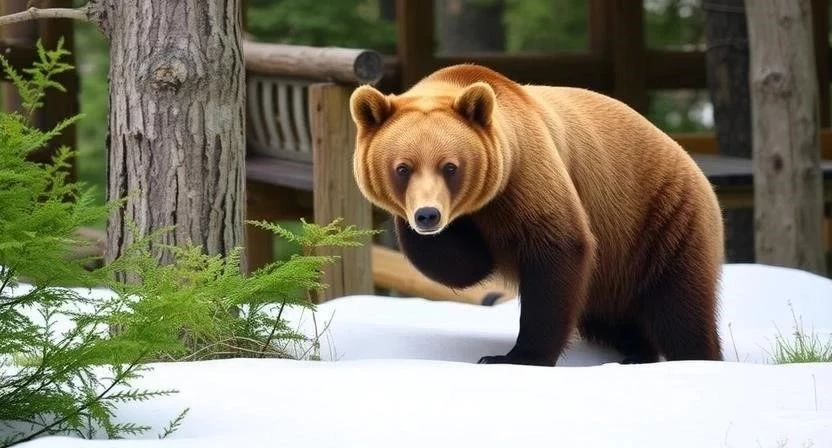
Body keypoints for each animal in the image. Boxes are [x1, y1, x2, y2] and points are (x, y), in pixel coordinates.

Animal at [348, 63, 724, 366]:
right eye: (402, 168)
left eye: (450, 166)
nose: (428, 215)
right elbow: (455, 263)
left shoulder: (526, 172)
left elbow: (556, 249)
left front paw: (515, 356)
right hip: (616, 263)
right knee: (611, 318)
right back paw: (635, 354)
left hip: (661, 216)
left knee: (680, 305)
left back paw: (696, 358)